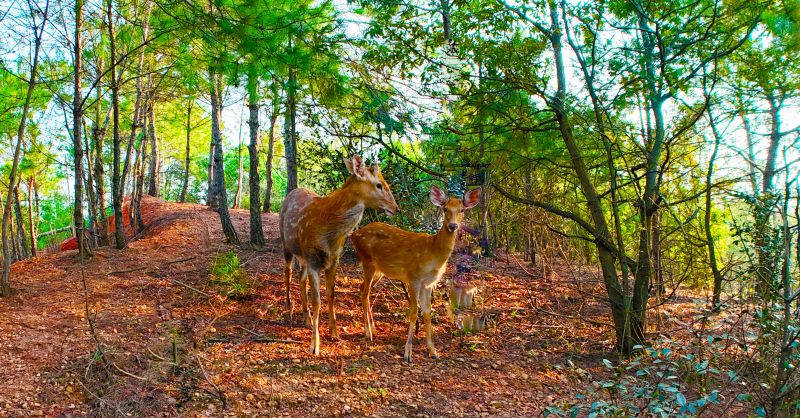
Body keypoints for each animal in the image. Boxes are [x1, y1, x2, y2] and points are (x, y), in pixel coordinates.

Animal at [280, 155, 398, 354]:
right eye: (379, 185)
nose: (396, 208)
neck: (329, 232)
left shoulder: (333, 259)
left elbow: (331, 294)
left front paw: (334, 333)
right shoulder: (313, 260)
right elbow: (317, 300)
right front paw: (315, 345)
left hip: (303, 256)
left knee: (301, 279)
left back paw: (306, 318)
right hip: (287, 245)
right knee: (287, 272)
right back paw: (289, 309)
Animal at [352, 186, 482, 362]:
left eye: (462, 210)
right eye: (445, 208)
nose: (453, 225)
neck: (432, 254)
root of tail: (353, 235)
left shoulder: (428, 283)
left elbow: (427, 312)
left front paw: (433, 351)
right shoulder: (413, 277)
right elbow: (414, 312)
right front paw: (408, 353)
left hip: (379, 270)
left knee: (361, 289)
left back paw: (373, 327)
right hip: (367, 262)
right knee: (365, 293)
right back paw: (368, 333)